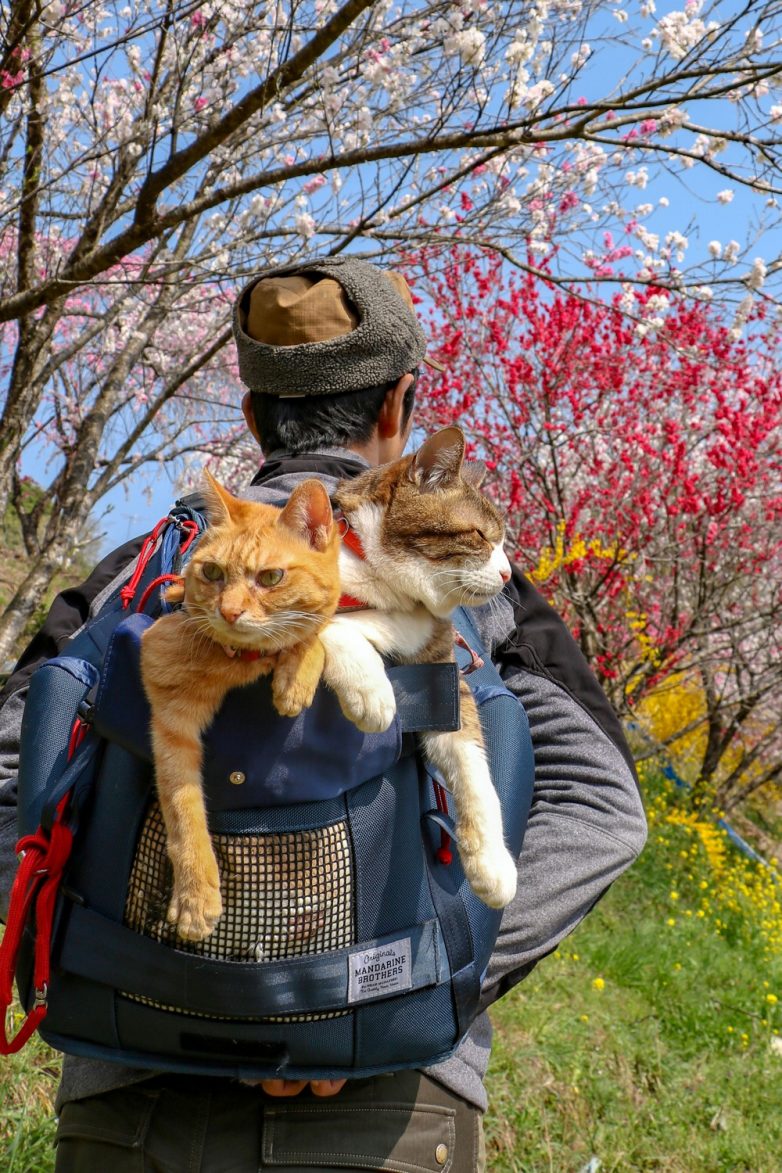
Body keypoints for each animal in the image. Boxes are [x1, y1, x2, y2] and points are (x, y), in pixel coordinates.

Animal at [140, 471, 340, 938]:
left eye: (271, 577)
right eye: (212, 572)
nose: (229, 612)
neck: (242, 661)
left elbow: (314, 632)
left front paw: (295, 679)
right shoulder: (170, 717)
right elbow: (184, 810)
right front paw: (196, 897)